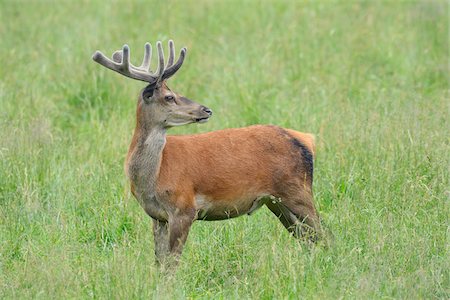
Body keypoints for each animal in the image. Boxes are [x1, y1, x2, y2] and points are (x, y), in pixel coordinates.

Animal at [93, 39, 322, 264]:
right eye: (169, 97)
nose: (206, 110)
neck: (153, 177)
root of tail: (307, 139)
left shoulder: (184, 207)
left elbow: (172, 263)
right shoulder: (157, 216)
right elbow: (159, 261)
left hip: (298, 190)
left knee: (322, 235)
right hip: (276, 201)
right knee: (307, 238)